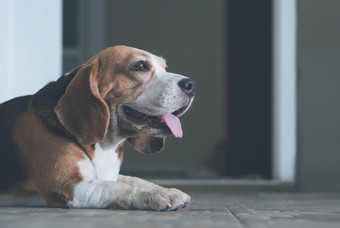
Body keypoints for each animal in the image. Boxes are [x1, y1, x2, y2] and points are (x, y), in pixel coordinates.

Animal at [0, 45, 195, 211]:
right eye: (140, 65)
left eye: (166, 68)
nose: (191, 85)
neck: (105, 144)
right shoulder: (66, 184)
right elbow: (118, 187)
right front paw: (155, 194)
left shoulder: (103, 176)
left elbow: (134, 179)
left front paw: (163, 189)